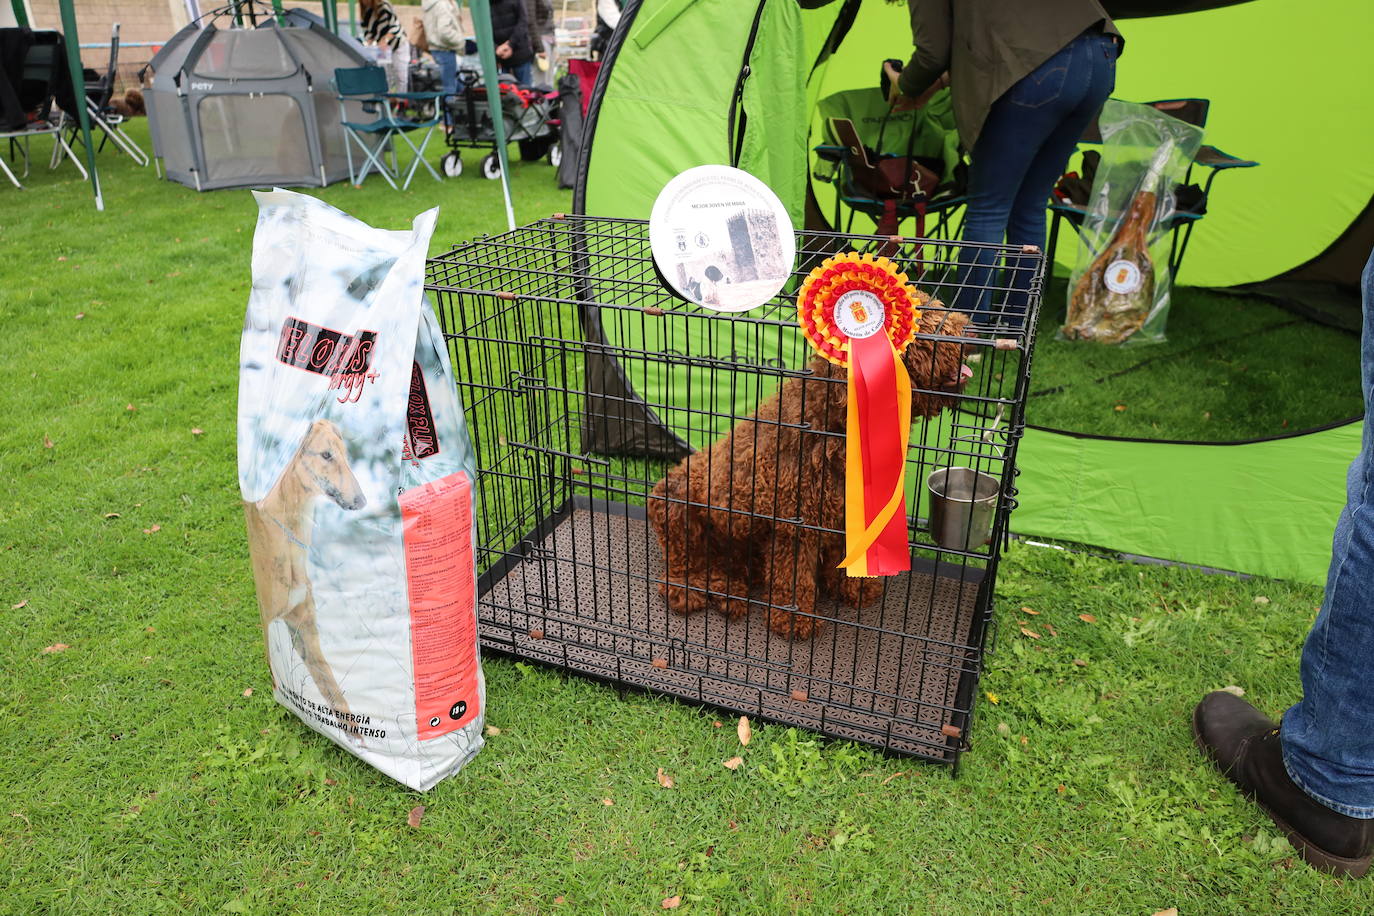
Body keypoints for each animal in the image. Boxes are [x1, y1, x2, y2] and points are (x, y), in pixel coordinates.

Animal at [645, 306, 978, 637]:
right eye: (923, 323)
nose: (971, 331)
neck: (834, 422)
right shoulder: (795, 523)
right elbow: (793, 576)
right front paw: (794, 619)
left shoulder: (844, 512)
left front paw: (853, 588)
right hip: (676, 506)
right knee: (678, 572)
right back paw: (699, 592)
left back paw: (731, 592)